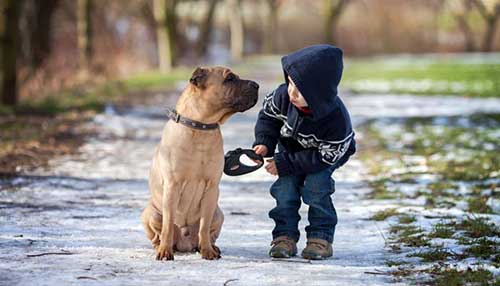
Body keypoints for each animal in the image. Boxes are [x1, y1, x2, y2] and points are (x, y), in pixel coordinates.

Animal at [140, 66, 258, 260]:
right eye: (230, 78)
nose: (256, 84)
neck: (201, 126)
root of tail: (185, 243)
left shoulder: (211, 188)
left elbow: (204, 226)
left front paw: (207, 251)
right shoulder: (172, 185)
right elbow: (167, 225)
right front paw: (164, 252)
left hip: (218, 213)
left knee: (208, 232)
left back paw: (211, 247)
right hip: (151, 214)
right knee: (160, 232)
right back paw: (162, 246)